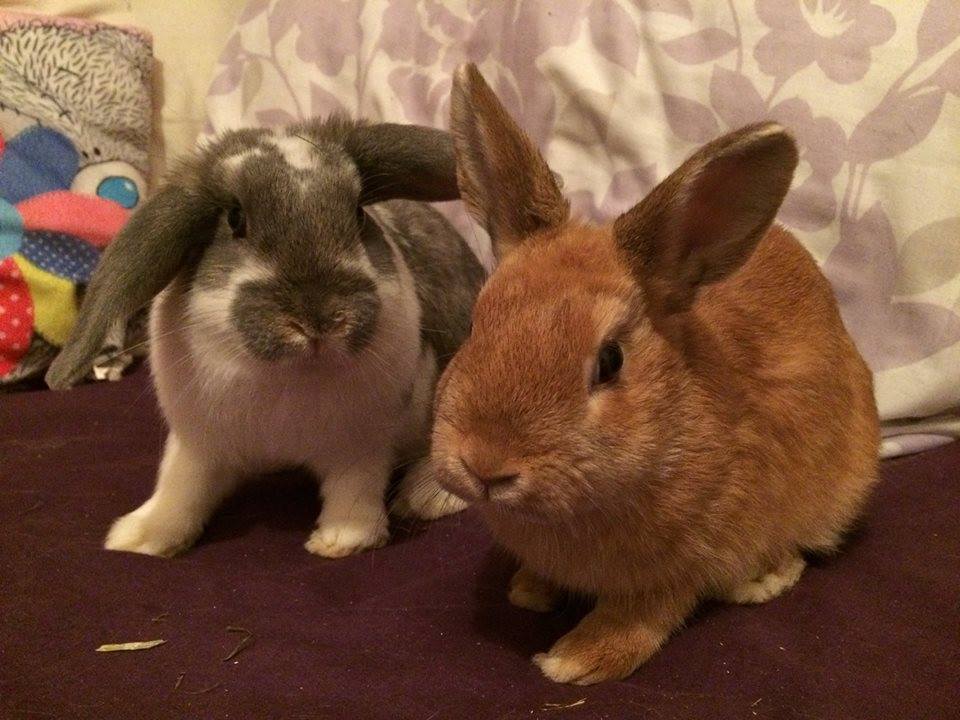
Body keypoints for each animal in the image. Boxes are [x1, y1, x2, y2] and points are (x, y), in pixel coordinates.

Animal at [46, 116, 485, 559]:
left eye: (358, 212)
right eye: (235, 218)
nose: (320, 319)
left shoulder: (360, 446)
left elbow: (353, 490)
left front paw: (340, 541)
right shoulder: (197, 445)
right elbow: (179, 488)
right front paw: (138, 538)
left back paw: (423, 498)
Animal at [430, 64, 880, 685]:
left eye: (610, 361)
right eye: (474, 325)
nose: (485, 465)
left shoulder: (686, 561)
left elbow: (645, 612)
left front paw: (575, 659)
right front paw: (529, 591)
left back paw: (761, 580)